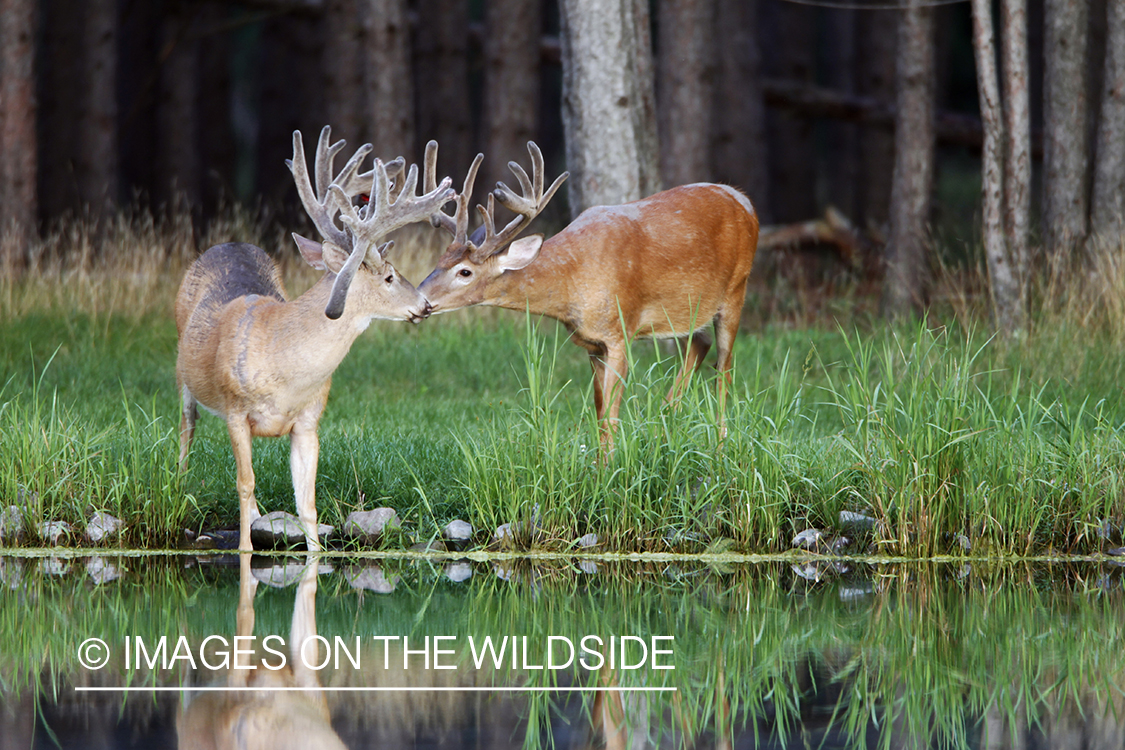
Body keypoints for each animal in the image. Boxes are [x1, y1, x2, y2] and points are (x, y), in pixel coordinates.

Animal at [176, 127, 456, 550]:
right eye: (390, 277)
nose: (425, 305)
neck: (284, 369)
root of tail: (230, 243)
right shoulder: (236, 411)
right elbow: (245, 484)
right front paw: (245, 549)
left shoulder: (309, 421)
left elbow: (306, 503)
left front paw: (312, 551)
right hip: (183, 371)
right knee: (187, 428)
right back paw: (177, 484)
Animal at [418, 143, 760, 452]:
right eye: (439, 261)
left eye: (465, 272)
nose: (421, 299)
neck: (572, 281)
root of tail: (744, 199)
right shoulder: (592, 343)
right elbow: (599, 414)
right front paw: (601, 467)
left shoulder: (621, 331)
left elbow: (610, 416)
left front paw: (611, 474)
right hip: (686, 309)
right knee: (700, 343)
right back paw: (665, 425)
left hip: (736, 290)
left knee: (724, 370)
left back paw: (719, 446)